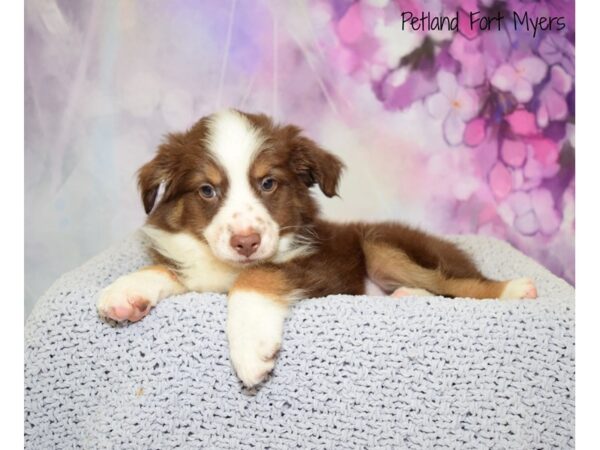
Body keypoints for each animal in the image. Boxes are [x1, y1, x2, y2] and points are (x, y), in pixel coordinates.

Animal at [98, 108, 540, 386]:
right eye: (207, 190)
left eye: (268, 183)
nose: (246, 242)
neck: (230, 267)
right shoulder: (202, 268)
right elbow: (171, 269)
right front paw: (126, 291)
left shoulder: (322, 265)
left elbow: (260, 274)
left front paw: (251, 350)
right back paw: (405, 297)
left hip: (382, 245)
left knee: (464, 283)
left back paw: (515, 288)